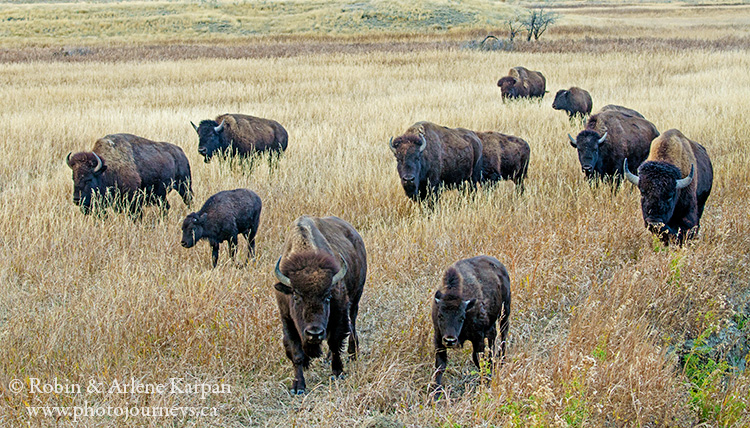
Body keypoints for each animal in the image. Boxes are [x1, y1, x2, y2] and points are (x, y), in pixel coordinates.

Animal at [274, 216, 368, 396]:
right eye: (296, 296)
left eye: (327, 297)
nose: (314, 333)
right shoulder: (287, 319)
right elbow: (296, 353)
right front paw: (298, 386)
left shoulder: (339, 314)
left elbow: (335, 342)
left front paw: (338, 373)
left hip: (356, 298)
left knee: (352, 324)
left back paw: (352, 353)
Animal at [432, 256, 516, 392]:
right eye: (440, 315)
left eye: (462, 317)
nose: (450, 340)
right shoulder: (439, 339)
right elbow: (440, 367)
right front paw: (436, 393)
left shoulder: (478, 338)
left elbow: (477, 359)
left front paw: (487, 380)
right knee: (493, 338)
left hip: (505, 311)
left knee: (503, 334)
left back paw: (501, 361)